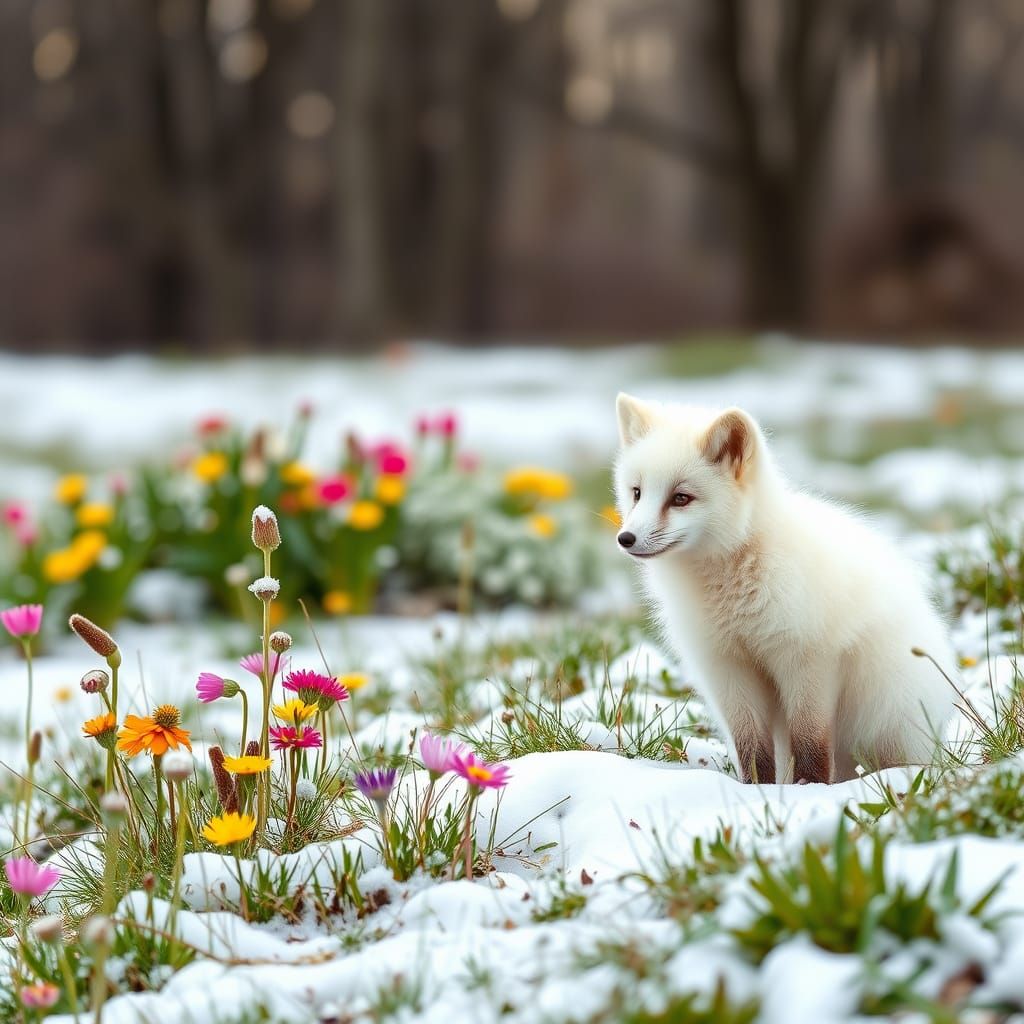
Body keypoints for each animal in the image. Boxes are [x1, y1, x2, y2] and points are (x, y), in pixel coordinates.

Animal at [613, 393, 956, 784]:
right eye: (637, 493)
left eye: (681, 498)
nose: (626, 538)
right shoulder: (728, 666)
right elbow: (751, 748)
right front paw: (755, 788)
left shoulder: (807, 658)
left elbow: (810, 741)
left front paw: (809, 786)